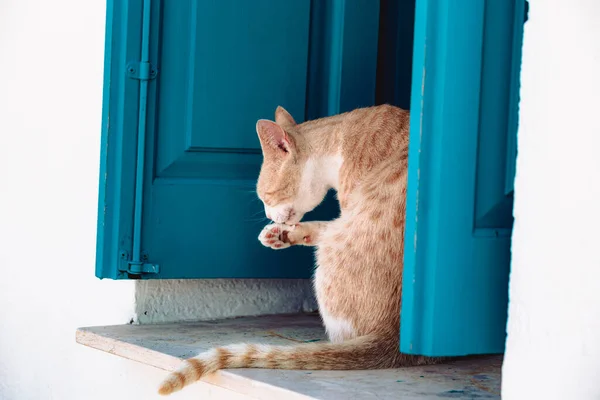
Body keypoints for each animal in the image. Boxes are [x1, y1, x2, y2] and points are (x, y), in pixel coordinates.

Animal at [157, 104, 438, 396]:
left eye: (266, 196)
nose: (269, 215)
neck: (343, 140)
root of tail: (397, 338)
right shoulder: (341, 219)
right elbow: (323, 226)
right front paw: (283, 234)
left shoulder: (350, 210)